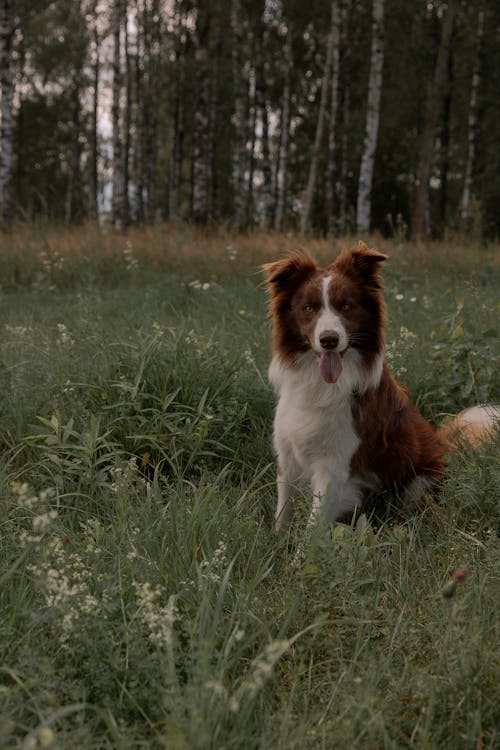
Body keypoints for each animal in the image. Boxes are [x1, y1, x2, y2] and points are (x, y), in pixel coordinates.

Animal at [264, 241, 498, 536]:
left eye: (346, 305)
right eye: (308, 308)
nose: (329, 340)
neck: (321, 384)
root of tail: (443, 446)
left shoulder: (335, 466)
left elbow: (312, 528)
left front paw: (301, 550)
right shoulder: (288, 455)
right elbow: (282, 514)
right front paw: (276, 543)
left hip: (418, 484)